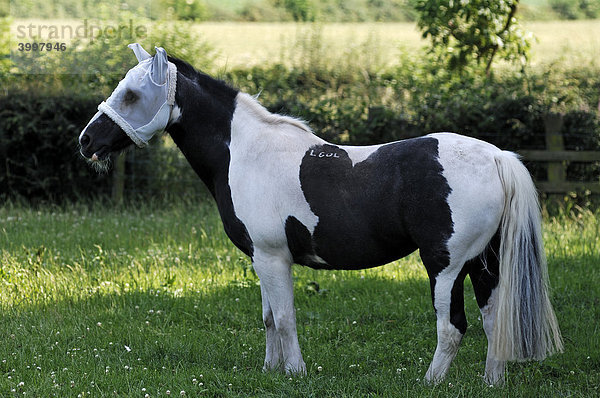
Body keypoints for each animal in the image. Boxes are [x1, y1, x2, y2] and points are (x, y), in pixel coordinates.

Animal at [79, 43, 564, 386]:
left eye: (132, 94)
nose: (86, 141)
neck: (246, 152)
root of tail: (497, 157)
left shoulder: (274, 258)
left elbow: (285, 317)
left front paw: (294, 373)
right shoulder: (261, 260)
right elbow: (269, 318)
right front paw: (271, 371)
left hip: (445, 266)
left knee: (452, 328)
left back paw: (429, 383)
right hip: (484, 263)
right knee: (492, 319)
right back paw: (491, 381)